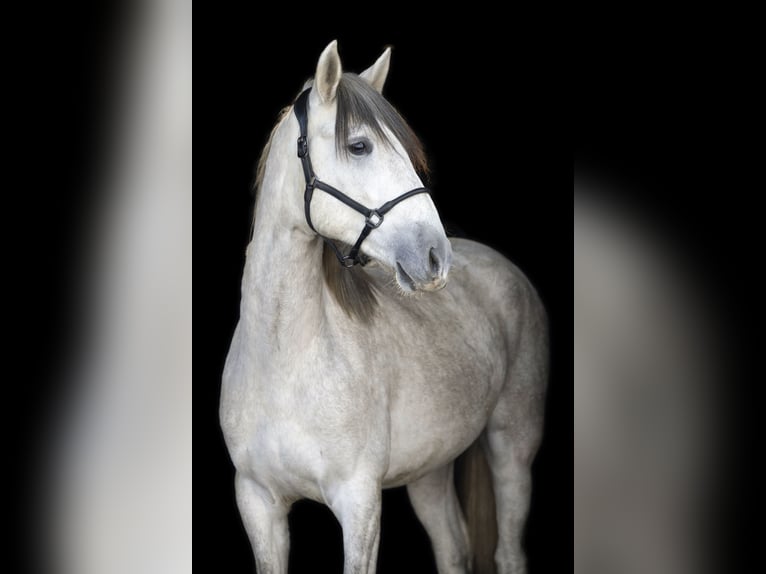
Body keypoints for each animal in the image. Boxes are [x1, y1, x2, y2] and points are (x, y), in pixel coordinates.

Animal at [220, 40, 548, 574]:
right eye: (359, 146)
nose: (435, 255)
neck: (286, 361)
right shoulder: (257, 504)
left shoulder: (359, 503)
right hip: (430, 468)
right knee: (452, 548)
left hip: (512, 448)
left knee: (509, 552)